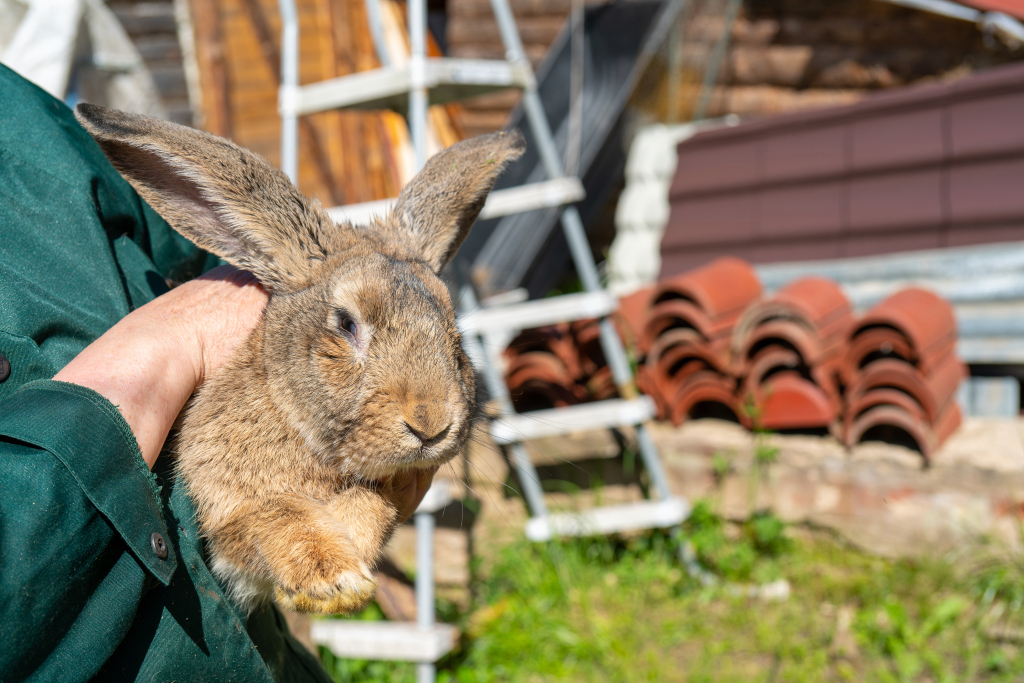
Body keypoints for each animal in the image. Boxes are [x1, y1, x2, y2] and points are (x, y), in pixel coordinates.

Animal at [73, 104, 524, 618]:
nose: (431, 423)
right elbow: (276, 515)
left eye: (454, 333)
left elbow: (370, 503)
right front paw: (331, 579)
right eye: (346, 324)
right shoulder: (228, 504)